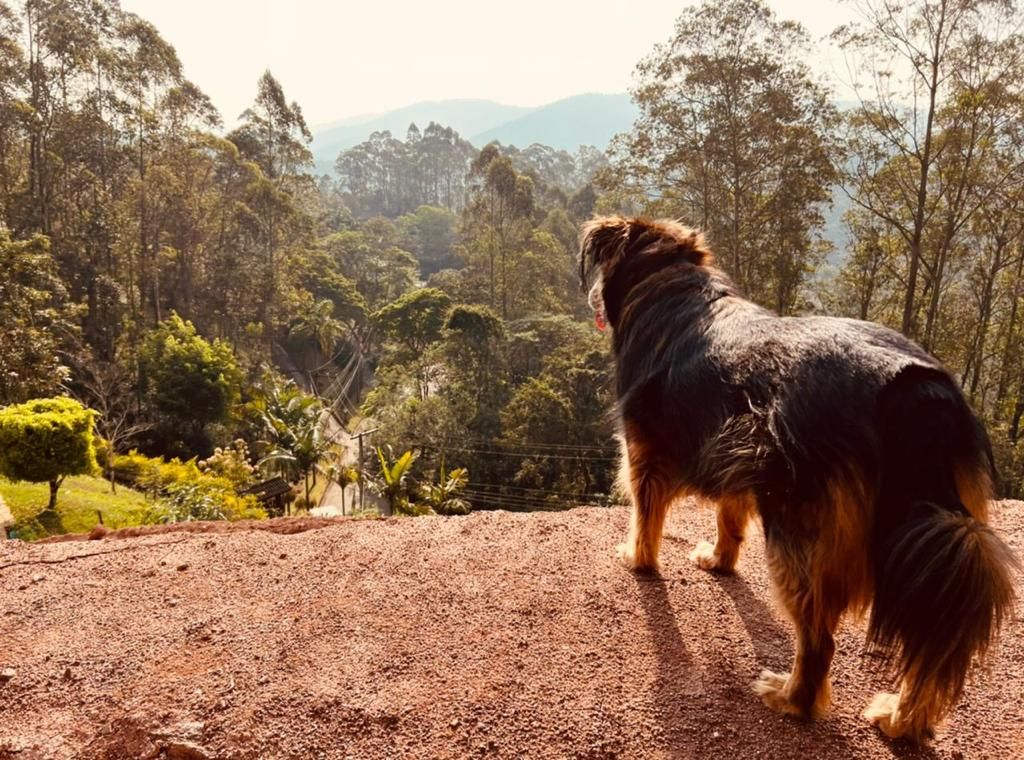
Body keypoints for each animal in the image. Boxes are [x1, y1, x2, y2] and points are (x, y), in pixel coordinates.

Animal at [581, 214, 1019, 745]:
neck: (670, 282)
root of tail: (912, 389)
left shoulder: (645, 453)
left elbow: (646, 516)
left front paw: (638, 559)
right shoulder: (737, 455)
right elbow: (729, 519)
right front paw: (720, 561)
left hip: (800, 530)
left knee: (819, 639)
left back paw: (794, 698)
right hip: (934, 535)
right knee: (930, 637)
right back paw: (904, 719)